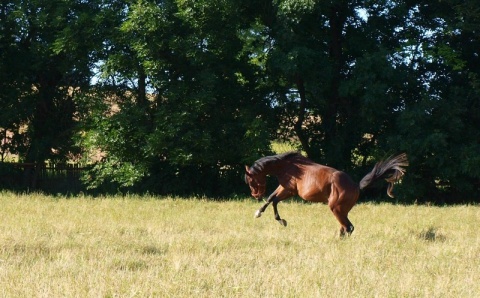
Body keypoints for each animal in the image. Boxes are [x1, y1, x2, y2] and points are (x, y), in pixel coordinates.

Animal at [246, 152, 406, 236]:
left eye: (251, 180)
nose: (255, 195)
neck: (289, 166)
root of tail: (356, 185)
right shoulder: (283, 187)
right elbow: (271, 198)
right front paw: (259, 213)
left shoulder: (289, 190)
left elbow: (274, 200)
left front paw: (281, 220)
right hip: (342, 211)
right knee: (345, 227)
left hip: (336, 209)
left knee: (348, 227)